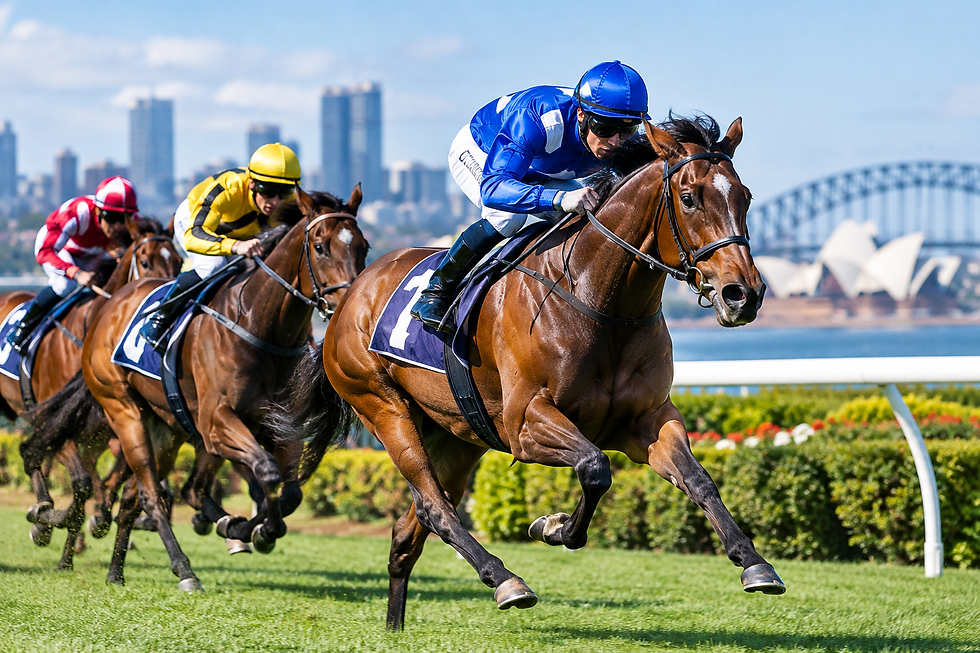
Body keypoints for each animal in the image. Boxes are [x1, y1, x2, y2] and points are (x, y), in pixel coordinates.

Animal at [1, 216, 181, 571]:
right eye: (145, 261)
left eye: (179, 261)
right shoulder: (64, 421)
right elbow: (81, 480)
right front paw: (52, 521)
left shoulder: (114, 424)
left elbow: (110, 478)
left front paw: (95, 522)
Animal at [78, 186, 367, 590]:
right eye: (321, 246)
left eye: (364, 246)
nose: (348, 306)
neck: (259, 326)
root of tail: (108, 309)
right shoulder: (216, 423)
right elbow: (266, 472)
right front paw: (255, 529)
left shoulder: (281, 426)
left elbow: (290, 492)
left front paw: (249, 527)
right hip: (125, 411)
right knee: (152, 495)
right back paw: (184, 570)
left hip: (167, 427)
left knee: (159, 493)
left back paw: (117, 570)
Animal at [272, 114, 784, 630]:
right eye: (690, 197)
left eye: (745, 197)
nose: (744, 293)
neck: (600, 301)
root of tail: (350, 295)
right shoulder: (526, 423)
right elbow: (595, 467)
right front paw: (552, 527)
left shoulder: (647, 420)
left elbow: (698, 478)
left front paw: (755, 563)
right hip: (383, 407)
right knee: (435, 507)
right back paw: (505, 580)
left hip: (456, 435)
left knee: (409, 528)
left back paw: (395, 627)